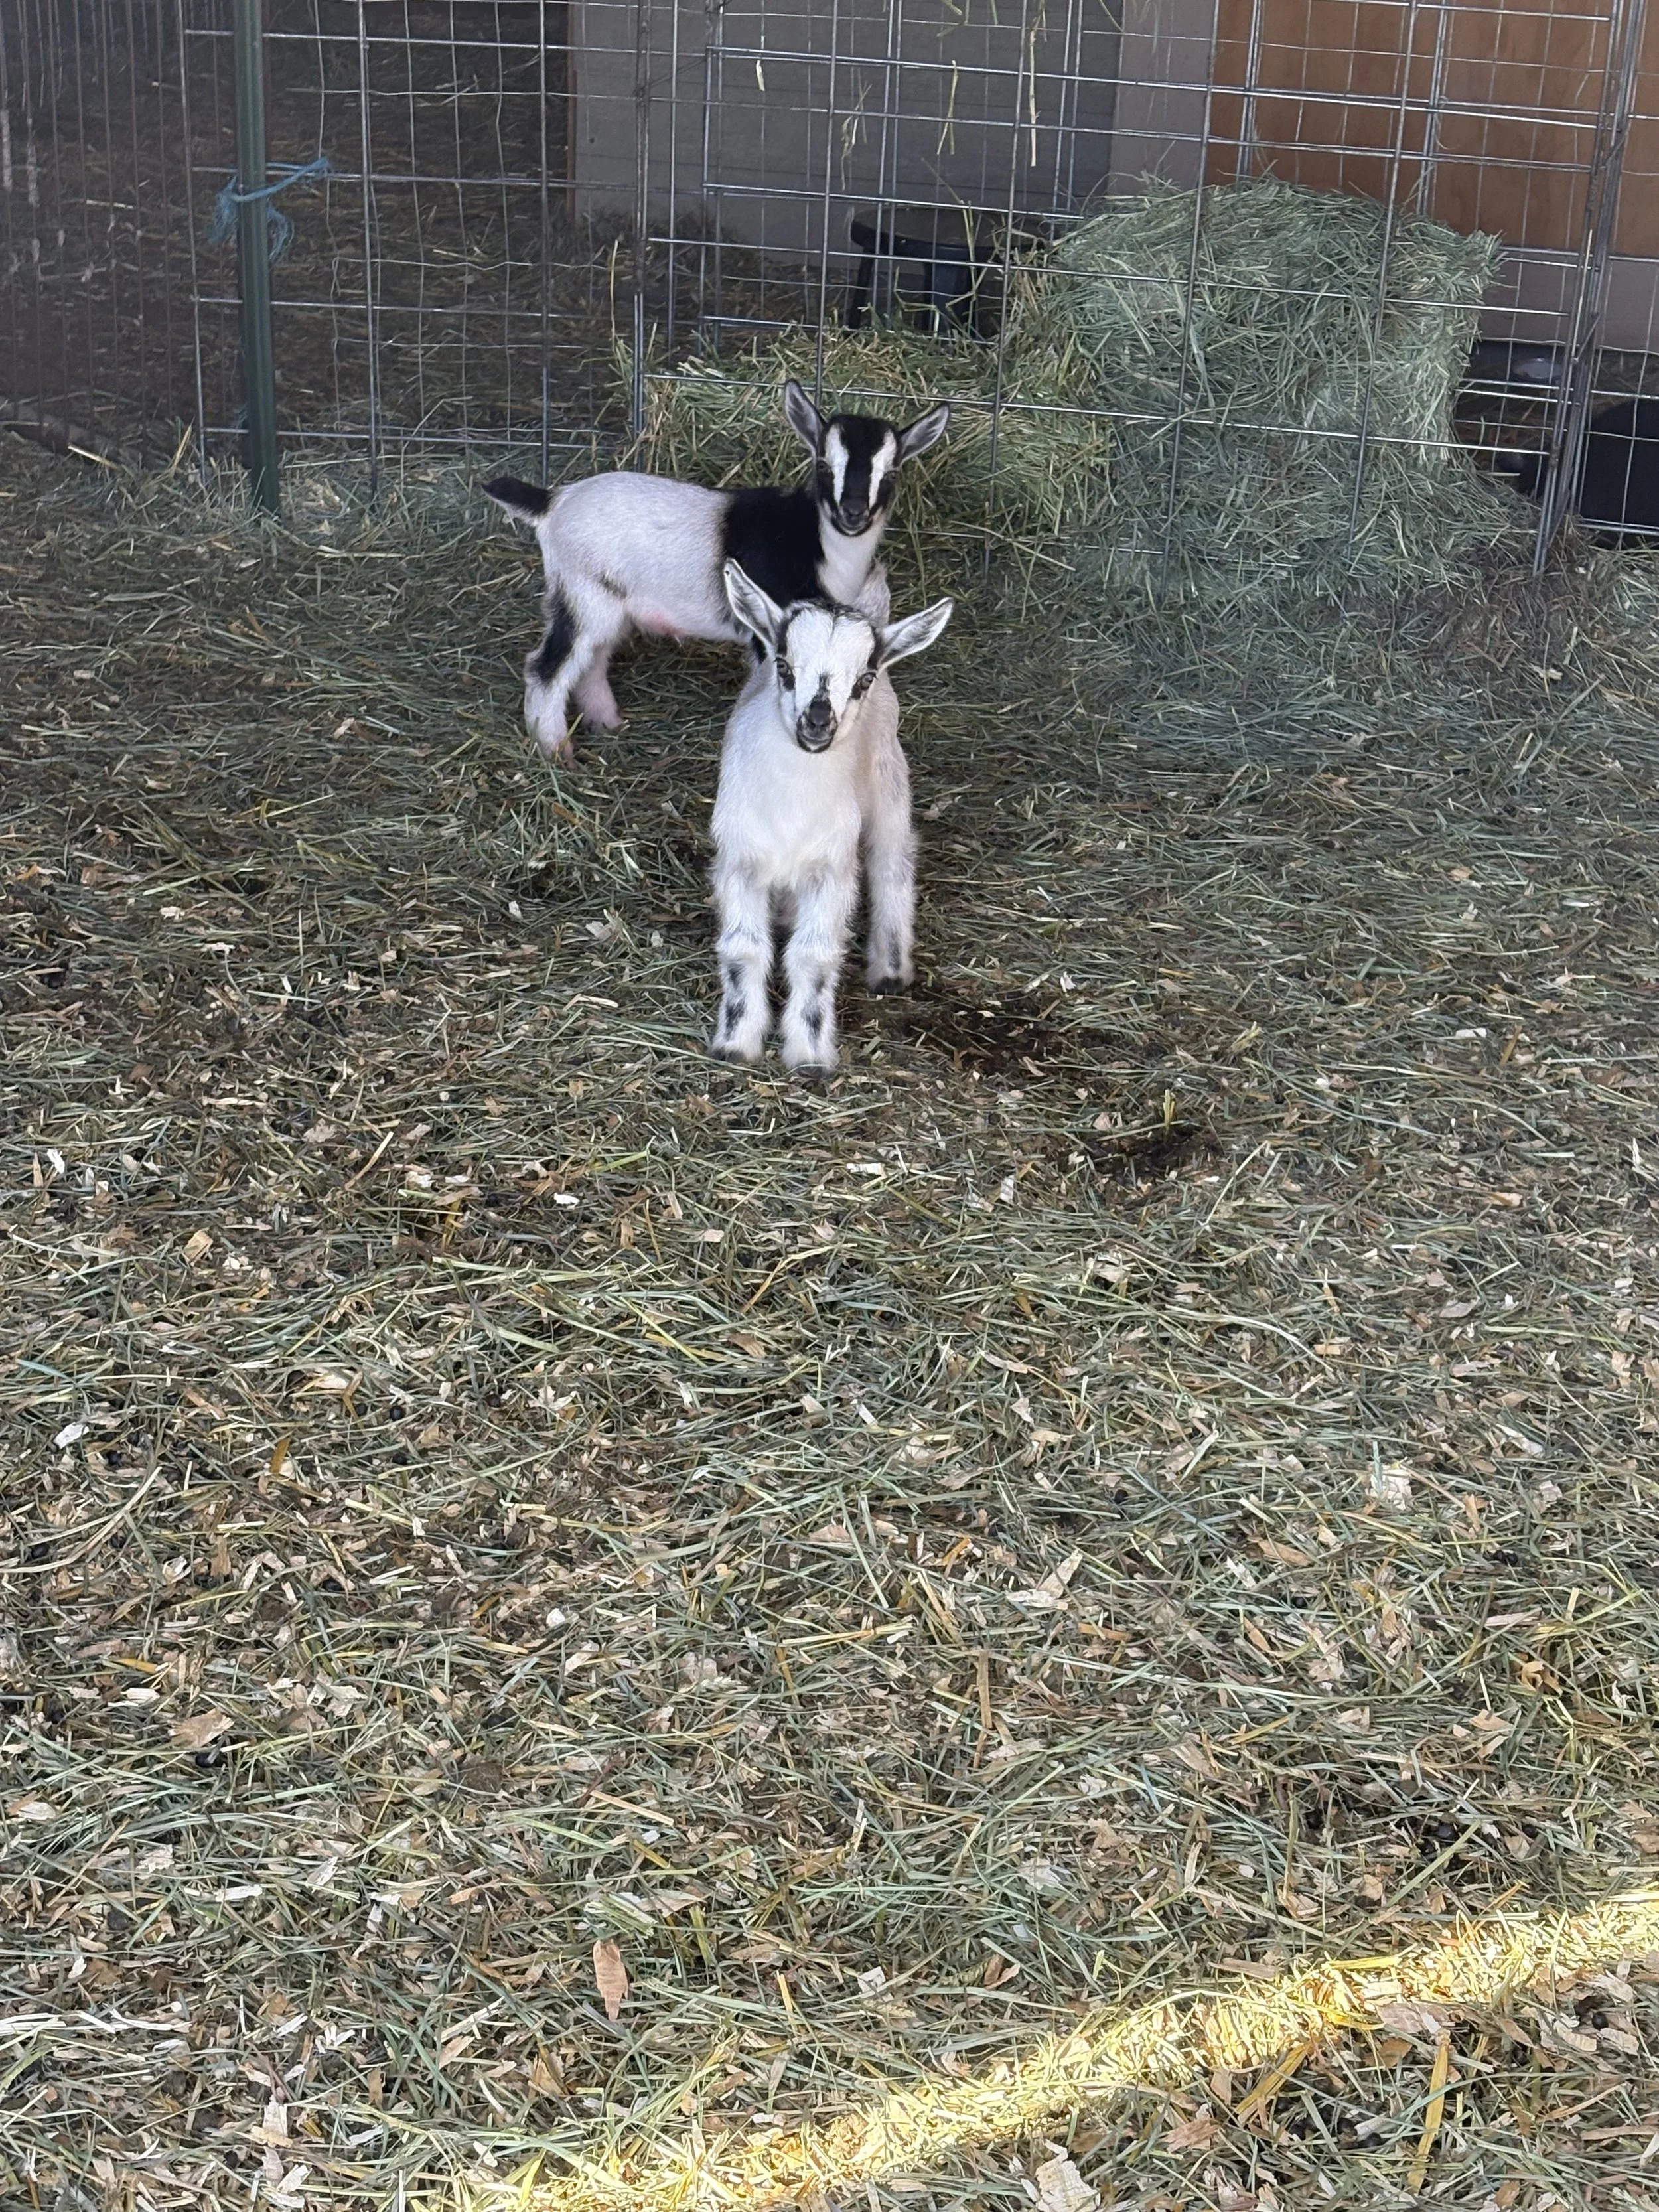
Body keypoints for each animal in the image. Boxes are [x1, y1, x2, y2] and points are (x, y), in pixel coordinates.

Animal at [482, 379, 950, 761]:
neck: (819, 542)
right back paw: (555, 751)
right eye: (822, 465)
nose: (853, 514)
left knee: (591, 661)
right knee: (547, 667)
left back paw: (608, 722)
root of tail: (554, 502)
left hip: (608, 605)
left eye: (891, 473)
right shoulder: (770, 628)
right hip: (582, 594)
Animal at [708, 559, 953, 1073]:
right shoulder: (739, 861)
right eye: (783, 666)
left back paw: (891, 970)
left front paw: (810, 1056)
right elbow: (743, 949)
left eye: (863, 679)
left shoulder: (833, 869)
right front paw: (736, 1043)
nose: (818, 722)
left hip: (889, 785)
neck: (791, 807)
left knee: (893, 866)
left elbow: (815, 956)